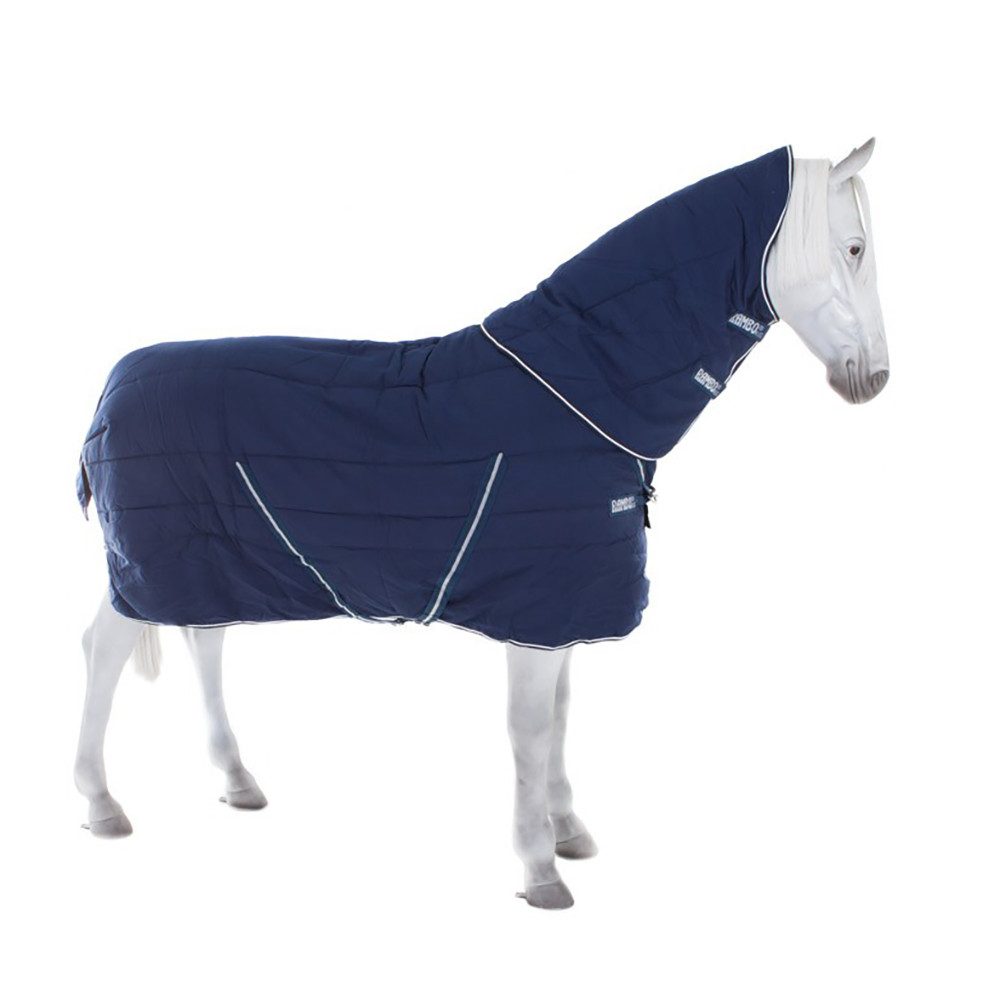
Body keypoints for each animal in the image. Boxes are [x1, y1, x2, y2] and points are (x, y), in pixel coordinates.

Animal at [74, 140, 888, 909]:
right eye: (853, 248)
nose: (873, 379)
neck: (574, 391)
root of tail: (111, 385)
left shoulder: (562, 610)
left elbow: (560, 717)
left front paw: (569, 833)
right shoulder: (535, 613)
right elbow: (529, 729)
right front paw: (540, 871)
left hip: (203, 561)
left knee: (203, 642)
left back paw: (238, 781)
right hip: (149, 565)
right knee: (104, 650)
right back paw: (102, 803)